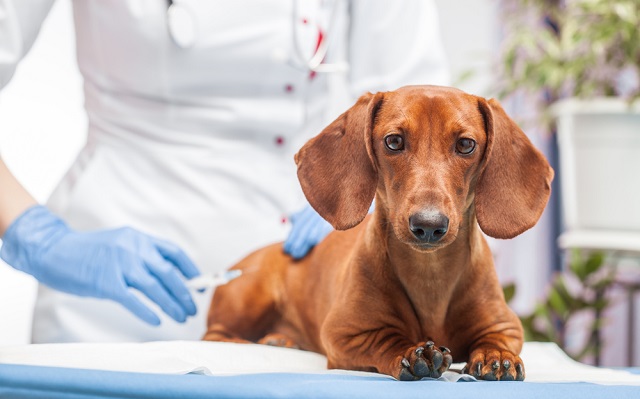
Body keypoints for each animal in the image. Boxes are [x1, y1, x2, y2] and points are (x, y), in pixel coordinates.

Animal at [202, 85, 552, 382]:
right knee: (214, 335)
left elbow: (497, 340)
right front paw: (414, 353)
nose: (428, 225)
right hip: (250, 297)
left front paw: (497, 357)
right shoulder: (343, 334)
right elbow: (384, 340)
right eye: (393, 141)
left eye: (466, 144)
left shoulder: (506, 325)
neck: (430, 276)